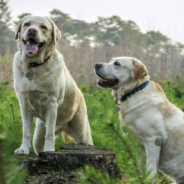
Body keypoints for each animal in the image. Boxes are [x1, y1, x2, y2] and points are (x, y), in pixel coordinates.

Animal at [13, 15, 92, 155]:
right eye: (27, 24)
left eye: (43, 27)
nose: (32, 30)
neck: (34, 65)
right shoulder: (24, 105)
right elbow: (26, 132)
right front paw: (23, 149)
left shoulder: (51, 104)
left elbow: (49, 134)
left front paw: (50, 150)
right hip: (38, 135)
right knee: (38, 145)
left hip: (83, 134)